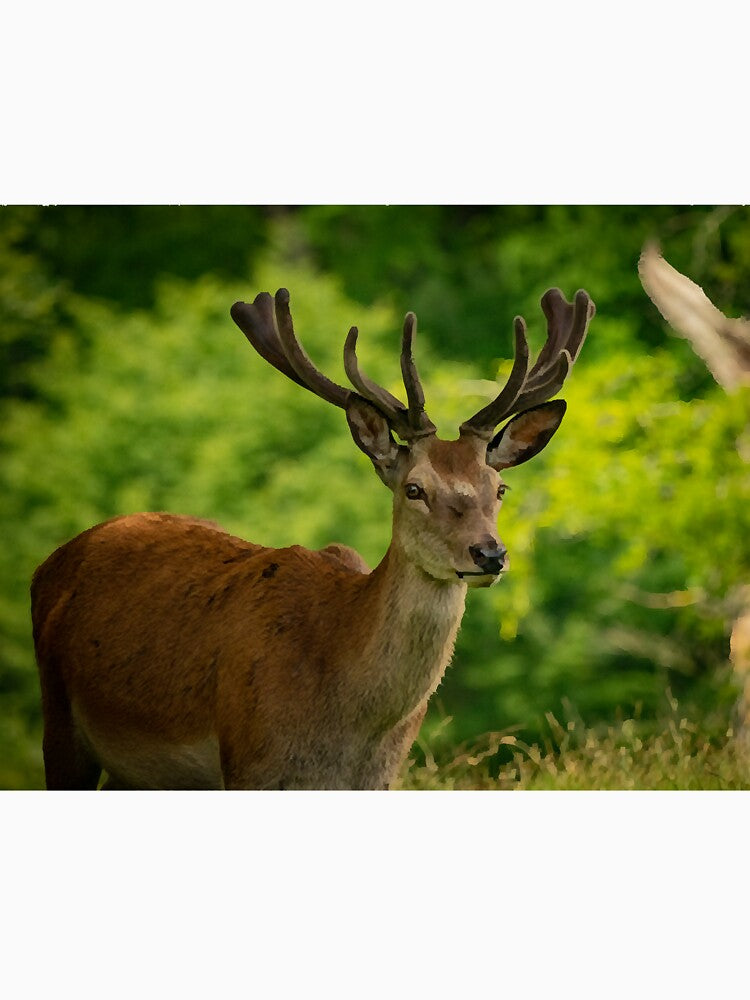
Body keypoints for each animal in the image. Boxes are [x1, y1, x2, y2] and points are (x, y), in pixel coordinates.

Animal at [31, 284, 595, 790]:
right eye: (414, 488)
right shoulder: (251, 763)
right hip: (59, 719)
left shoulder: (379, 779)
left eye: (498, 487)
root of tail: (53, 560)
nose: (489, 553)